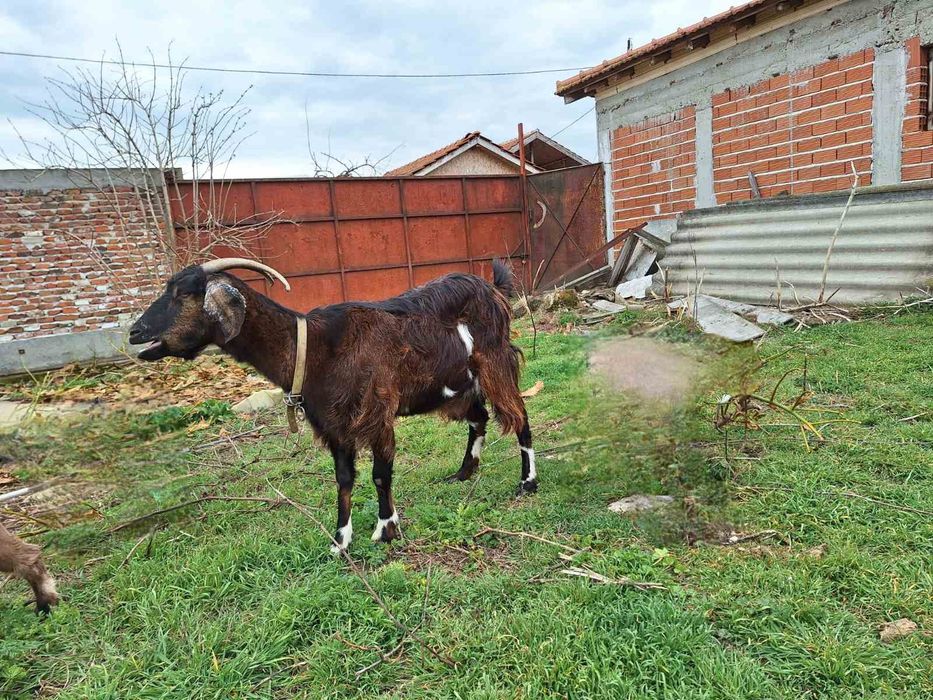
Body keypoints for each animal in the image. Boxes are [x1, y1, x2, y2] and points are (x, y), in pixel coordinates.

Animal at [129, 258, 536, 553]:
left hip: (494, 364)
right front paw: (340, 541)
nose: (135, 332)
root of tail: (493, 288)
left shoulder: (375, 413)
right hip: (457, 387)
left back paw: (527, 483)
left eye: (182, 294)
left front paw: (386, 529)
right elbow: (343, 479)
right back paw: (463, 472)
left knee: (520, 417)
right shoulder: (334, 424)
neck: (313, 348)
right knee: (479, 418)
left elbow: (379, 474)